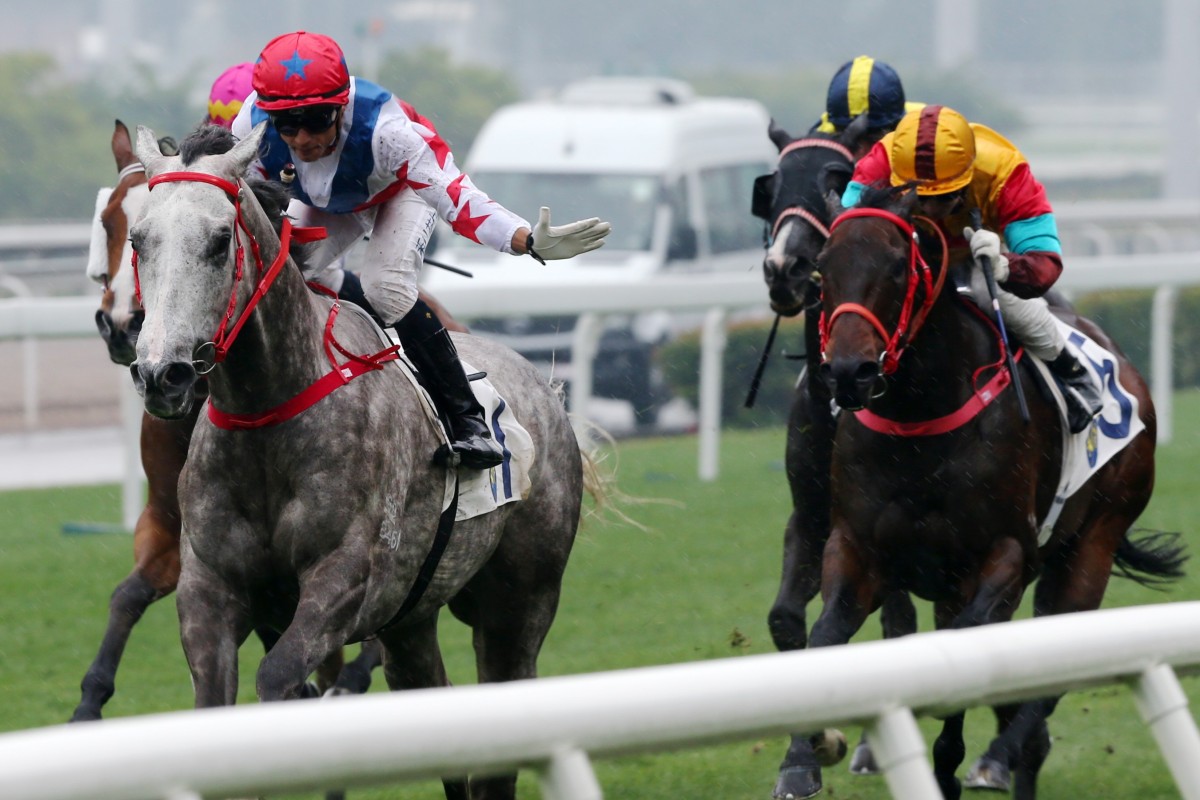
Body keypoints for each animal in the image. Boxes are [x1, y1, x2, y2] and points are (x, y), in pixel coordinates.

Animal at [772, 185, 1185, 800]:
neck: (919, 416)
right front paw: (806, 754)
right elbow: (823, 638)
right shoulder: (854, 547)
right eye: (825, 268)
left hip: (1093, 542)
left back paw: (1001, 754)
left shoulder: (1004, 556)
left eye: (898, 266)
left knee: (1050, 670)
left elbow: (970, 647)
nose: (848, 372)